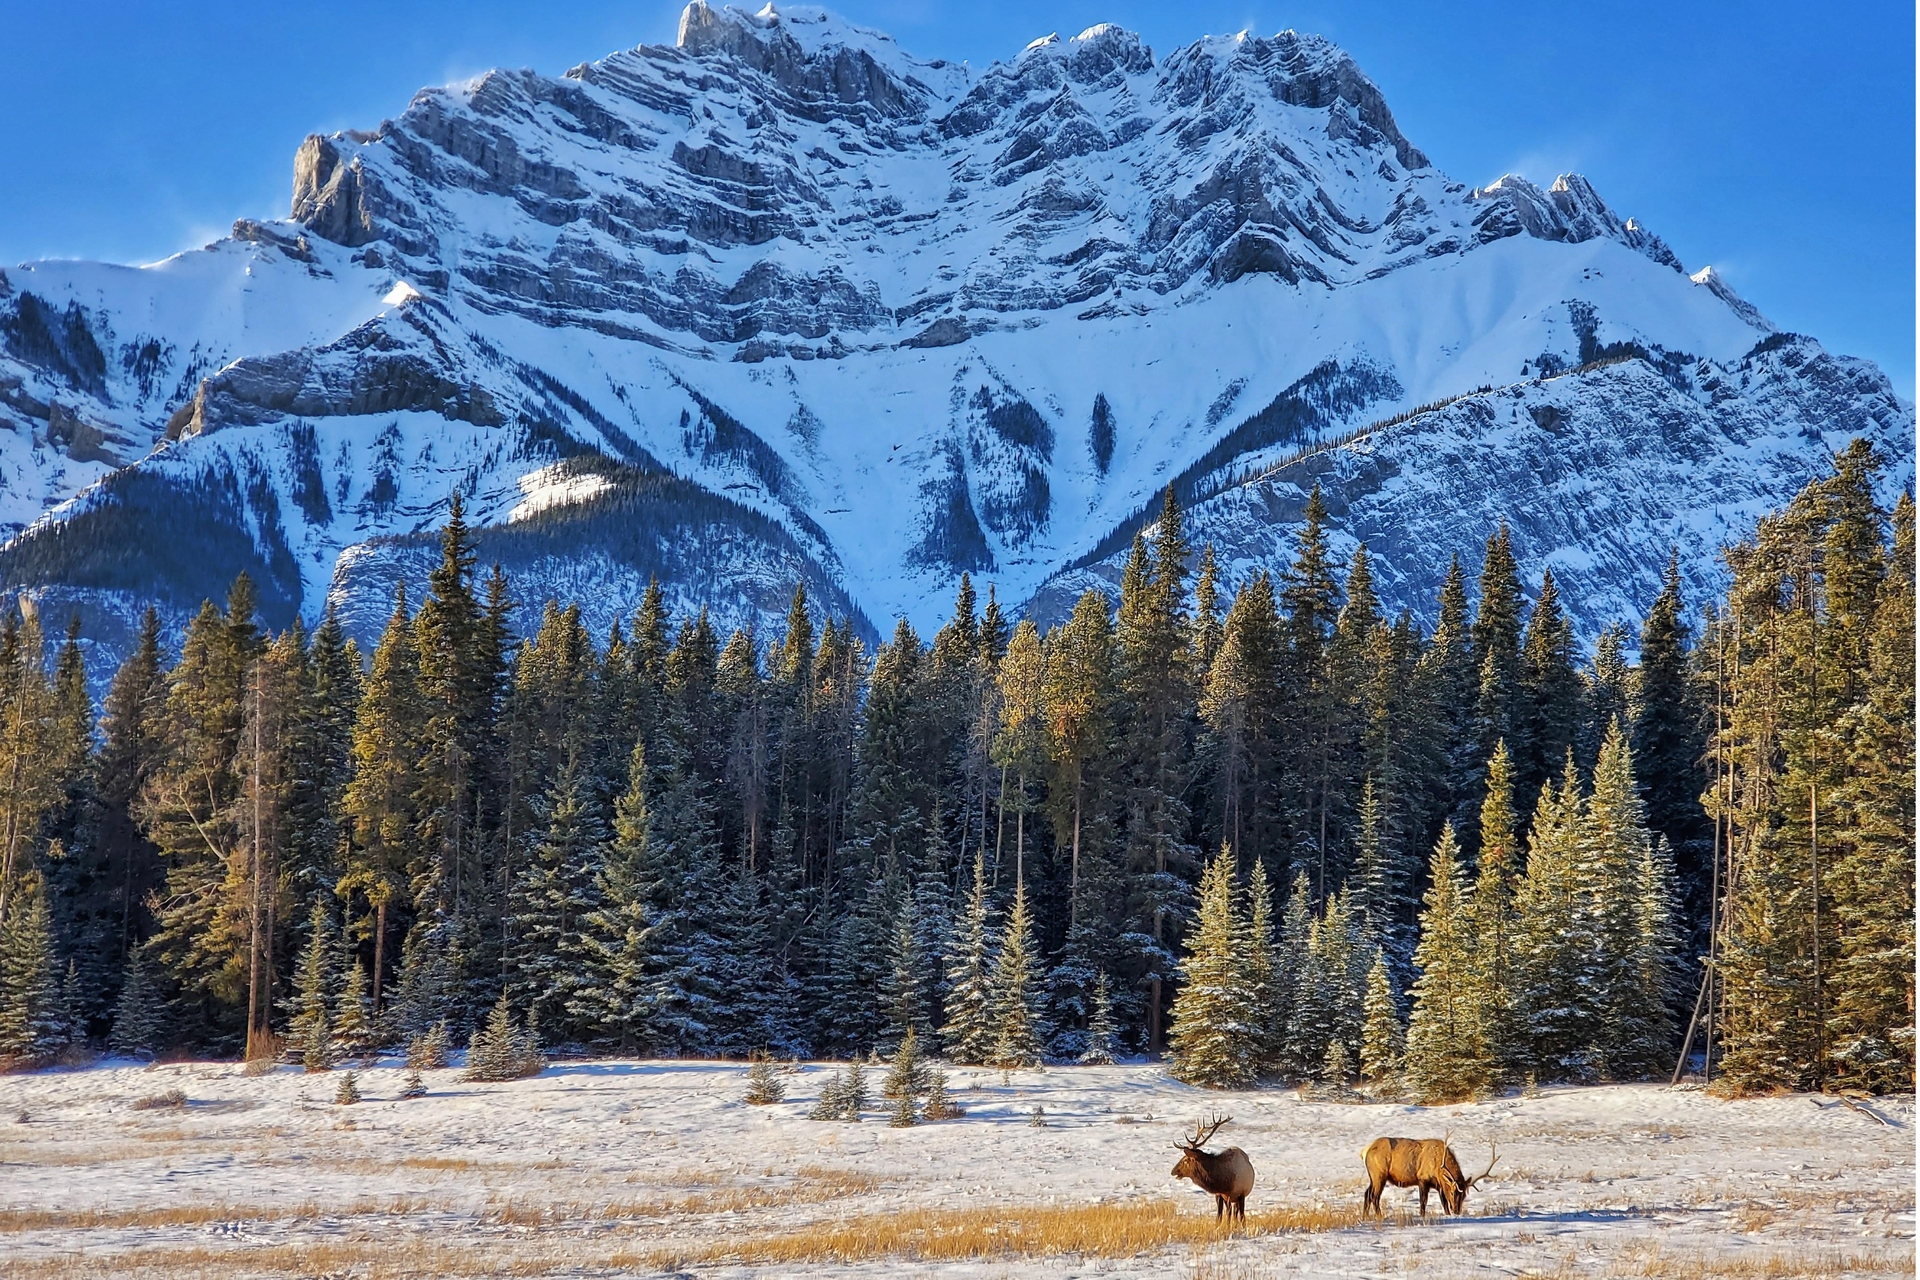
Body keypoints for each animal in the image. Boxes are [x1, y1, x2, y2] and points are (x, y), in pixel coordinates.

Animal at [1362, 1136, 1497, 1217]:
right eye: (1453, 1192)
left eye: (1464, 1195)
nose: (1456, 1211)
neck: (1438, 1168)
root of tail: (1365, 1151)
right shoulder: (1422, 1179)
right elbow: (1423, 1201)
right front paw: (1422, 1215)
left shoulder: (1439, 1185)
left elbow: (1444, 1202)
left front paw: (1448, 1214)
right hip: (1379, 1175)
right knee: (1374, 1196)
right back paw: (1379, 1216)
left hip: (1373, 1177)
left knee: (1367, 1193)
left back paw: (1365, 1216)